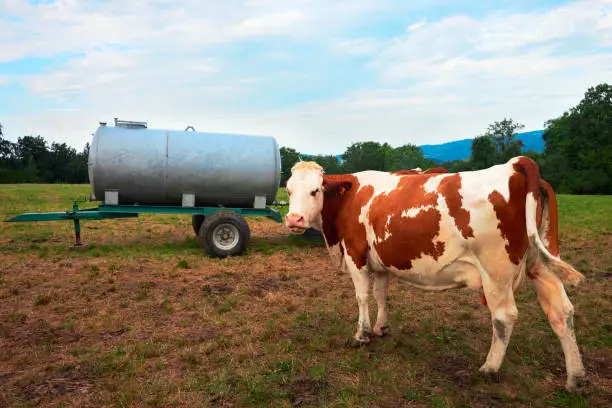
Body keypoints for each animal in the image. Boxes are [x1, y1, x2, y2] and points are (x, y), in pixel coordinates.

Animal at [286, 157, 588, 392]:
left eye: (315, 190)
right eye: (288, 190)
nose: (293, 220)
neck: (349, 198)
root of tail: (516, 164)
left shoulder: (355, 254)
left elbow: (362, 296)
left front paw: (361, 335)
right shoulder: (381, 261)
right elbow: (381, 294)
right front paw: (381, 327)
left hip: (496, 271)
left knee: (504, 317)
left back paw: (489, 368)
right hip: (541, 264)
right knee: (562, 312)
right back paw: (575, 377)